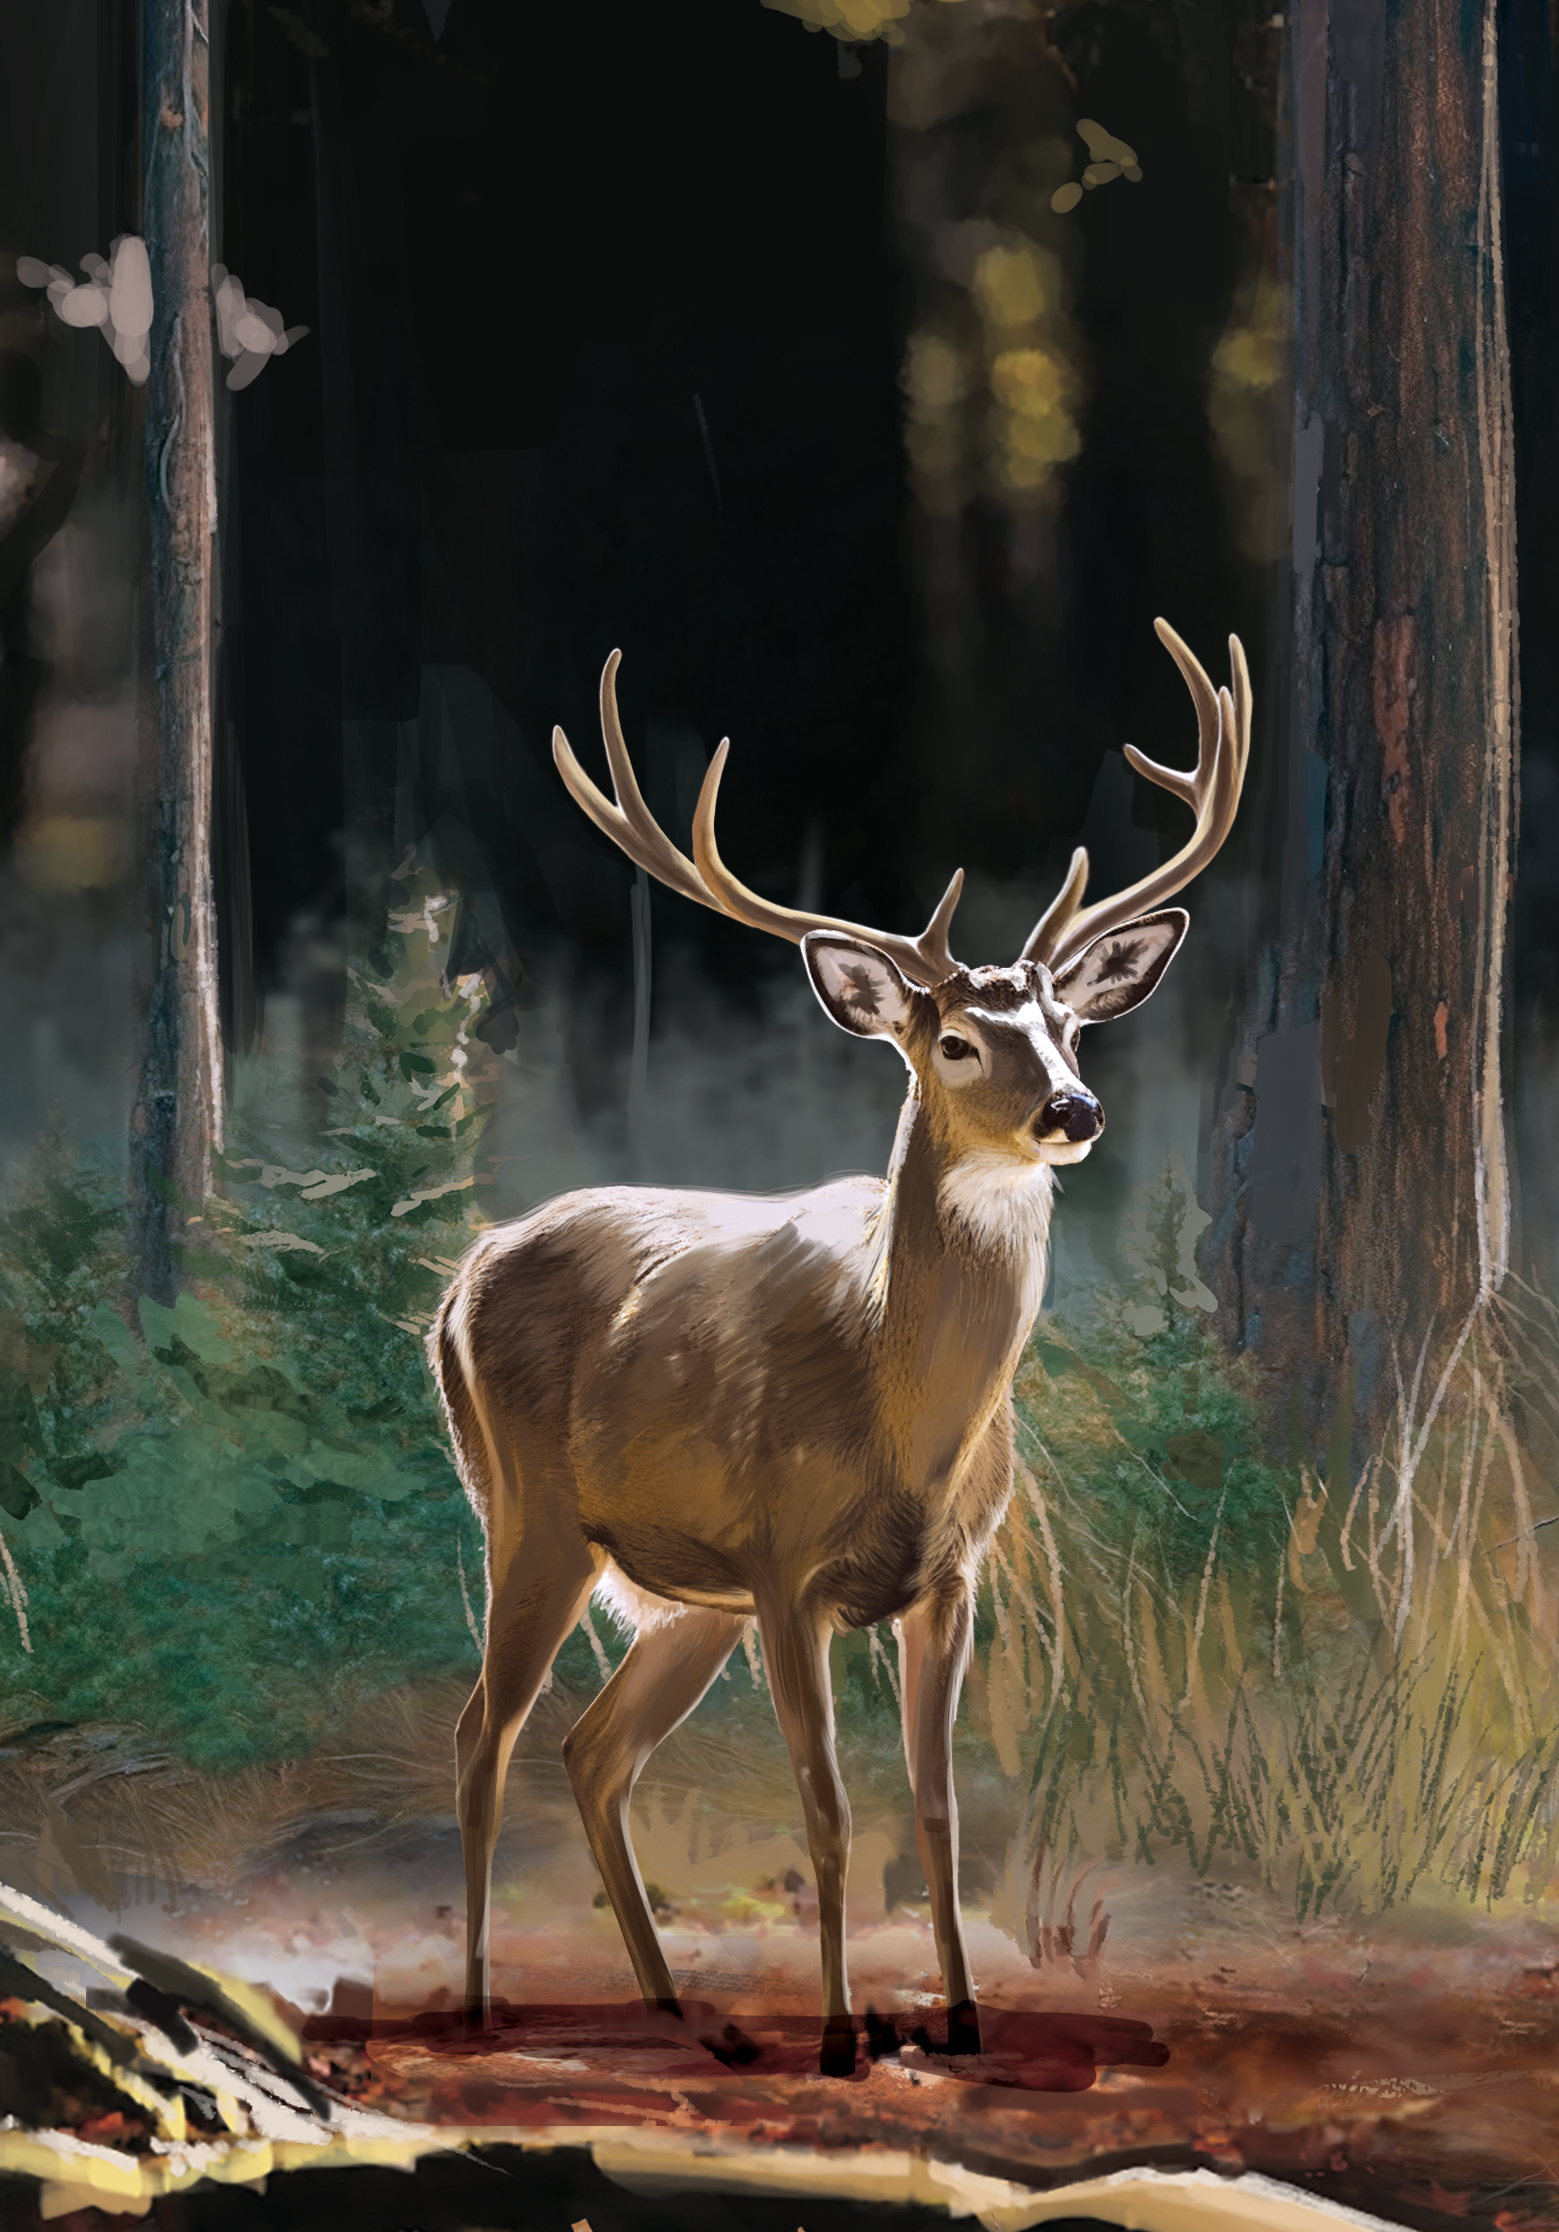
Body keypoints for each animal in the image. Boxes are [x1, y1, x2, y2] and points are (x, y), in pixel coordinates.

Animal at [430, 619, 1251, 2075]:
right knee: (484, 1732)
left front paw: (962, 2019)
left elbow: (934, 1810)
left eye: (1072, 1027)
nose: (1073, 1108)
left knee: (591, 1749)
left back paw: (676, 2011)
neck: (901, 1422)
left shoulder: (952, 1576)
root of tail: (461, 1274)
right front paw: (834, 2032)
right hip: (531, 1515)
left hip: (671, 1594)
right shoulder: (779, 1566)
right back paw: (478, 2004)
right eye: (955, 1039)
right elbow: (821, 1808)